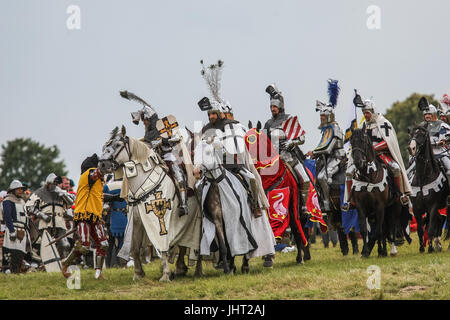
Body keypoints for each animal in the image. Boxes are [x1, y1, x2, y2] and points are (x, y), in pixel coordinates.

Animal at [100, 126, 202, 282]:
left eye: (117, 145)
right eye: (105, 146)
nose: (102, 164)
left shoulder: (160, 221)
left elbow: (162, 247)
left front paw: (165, 275)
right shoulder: (136, 221)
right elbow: (135, 248)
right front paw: (138, 273)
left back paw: (197, 271)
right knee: (183, 244)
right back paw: (180, 268)